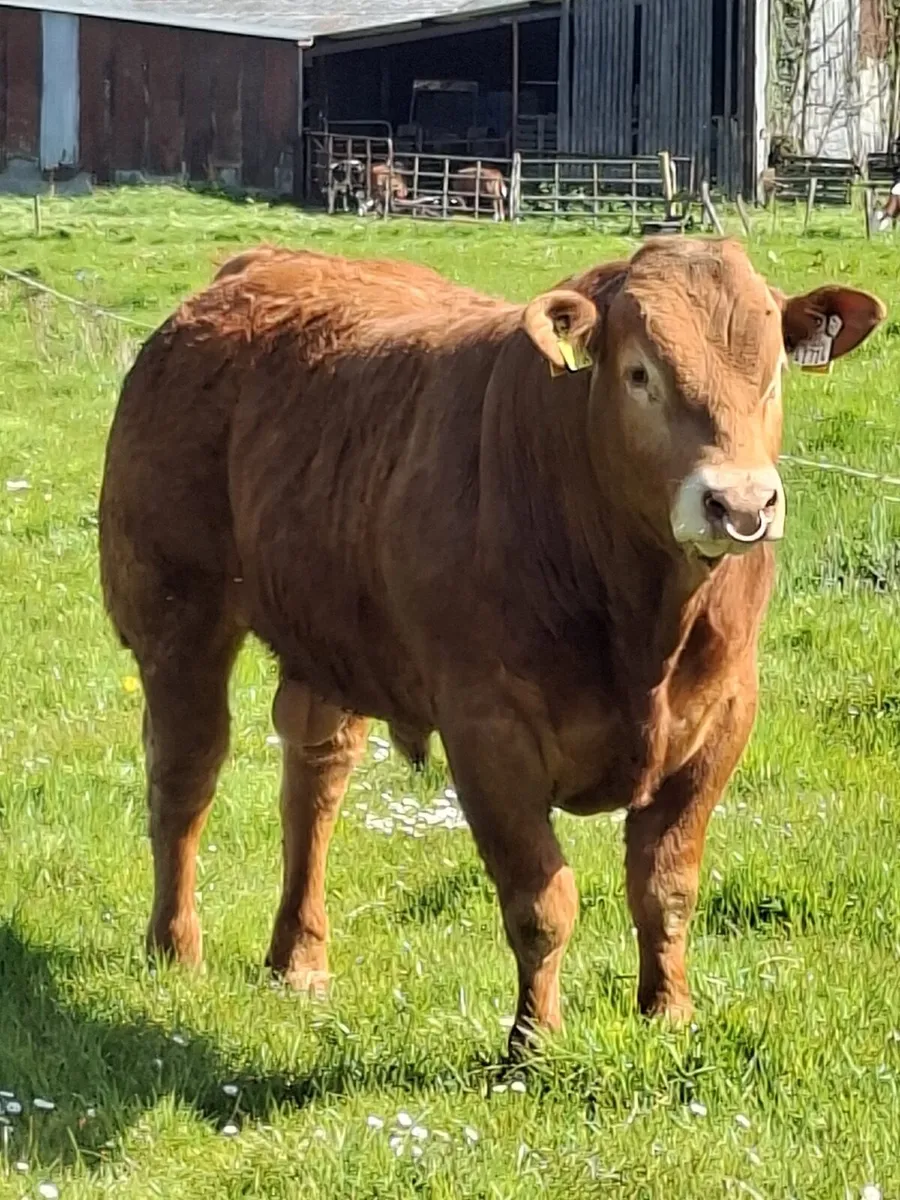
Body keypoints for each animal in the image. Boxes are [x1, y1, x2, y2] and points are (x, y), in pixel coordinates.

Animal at [98, 240, 884, 1055]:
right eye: (640, 373)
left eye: (773, 373)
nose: (740, 503)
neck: (643, 627)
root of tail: (259, 262)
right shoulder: (488, 731)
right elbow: (542, 901)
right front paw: (534, 1045)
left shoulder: (724, 715)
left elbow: (666, 885)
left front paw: (669, 1015)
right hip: (176, 613)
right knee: (186, 773)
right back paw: (174, 946)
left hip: (327, 631)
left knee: (314, 779)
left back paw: (300, 959)